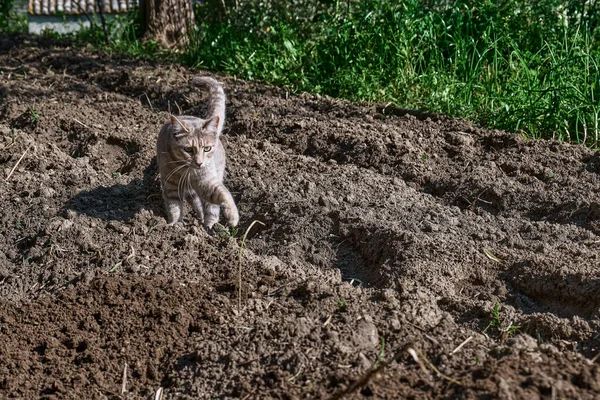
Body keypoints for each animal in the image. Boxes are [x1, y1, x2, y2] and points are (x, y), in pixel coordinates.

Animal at [156, 77, 238, 228]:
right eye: (188, 149)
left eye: (207, 148)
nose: (199, 163)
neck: (187, 171)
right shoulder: (170, 185)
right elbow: (174, 207)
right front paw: (175, 225)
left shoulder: (207, 182)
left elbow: (223, 195)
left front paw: (232, 215)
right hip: (189, 192)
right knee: (197, 203)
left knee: (211, 207)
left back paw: (208, 226)